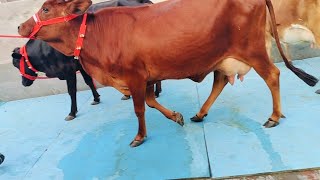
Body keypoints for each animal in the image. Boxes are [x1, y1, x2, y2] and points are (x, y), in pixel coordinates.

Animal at [11, 0, 158, 121]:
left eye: (17, 64)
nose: (23, 83)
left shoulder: (69, 70)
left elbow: (72, 91)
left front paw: (72, 112)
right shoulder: (81, 66)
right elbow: (89, 82)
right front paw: (96, 98)